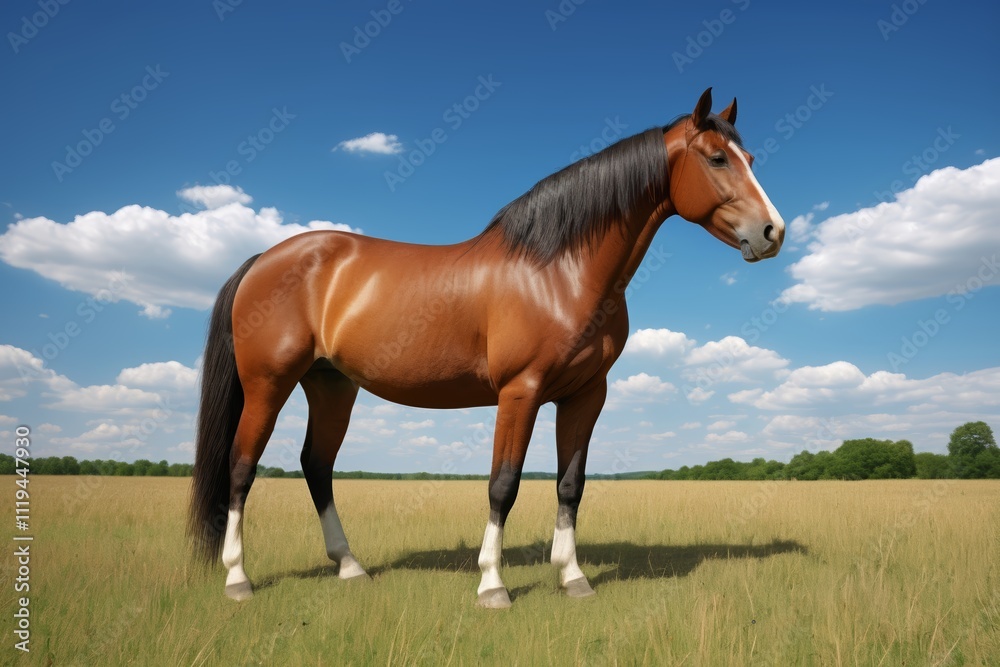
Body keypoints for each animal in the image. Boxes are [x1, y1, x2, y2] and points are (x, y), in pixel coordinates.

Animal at [188, 87, 785, 608]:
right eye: (717, 158)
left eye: (750, 157)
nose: (772, 232)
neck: (557, 271)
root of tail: (264, 259)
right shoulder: (519, 391)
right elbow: (503, 486)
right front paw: (492, 586)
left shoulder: (586, 395)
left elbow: (570, 485)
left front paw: (573, 577)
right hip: (269, 383)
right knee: (241, 468)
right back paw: (238, 579)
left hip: (331, 385)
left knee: (316, 466)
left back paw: (351, 567)